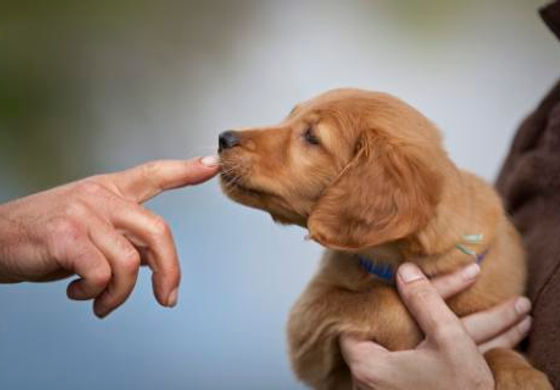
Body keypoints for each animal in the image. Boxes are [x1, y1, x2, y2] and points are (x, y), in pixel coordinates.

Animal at [218, 89, 552, 390]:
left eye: (311, 137)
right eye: (290, 116)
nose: (224, 138)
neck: (399, 259)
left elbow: (498, 348)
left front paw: (524, 378)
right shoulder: (306, 321)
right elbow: (385, 301)